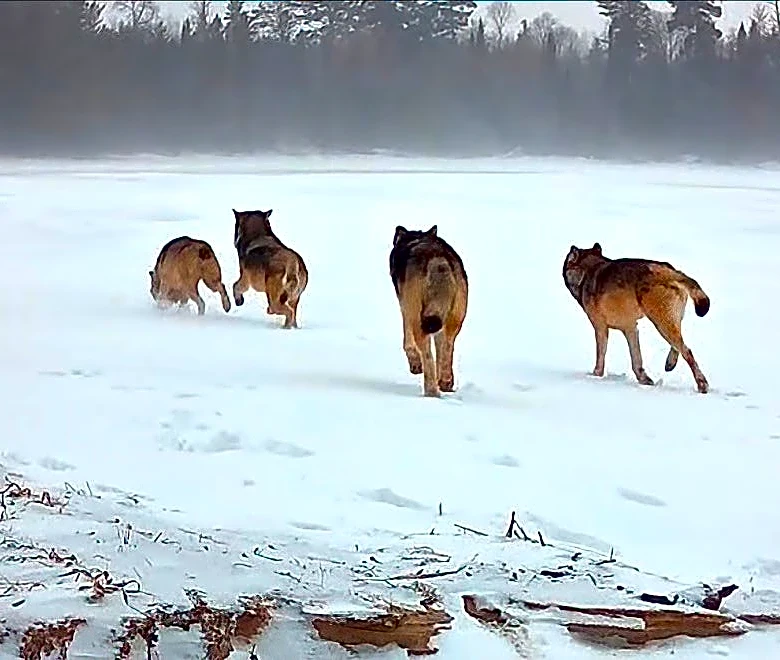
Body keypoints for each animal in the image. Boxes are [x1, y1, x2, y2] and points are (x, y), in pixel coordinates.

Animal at [390, 225, 469, 398]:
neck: (415, 240)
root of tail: (438, 261)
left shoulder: (405, 307)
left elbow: (408, 343)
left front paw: (415, 365)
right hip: (454, 320)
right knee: (446, 349)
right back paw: (445, 384)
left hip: (418, 317)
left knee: (427, 353)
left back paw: (431, 391)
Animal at [562, 242, 711, 393]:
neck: (588, 271)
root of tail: (670, 271)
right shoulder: (631, 328)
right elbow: (636, 358)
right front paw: (645, 380)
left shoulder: (600, 327)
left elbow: (601, 356)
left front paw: (595, 376)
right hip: (671, 322)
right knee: (679, 346)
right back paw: (670, 364)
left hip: (661, 323)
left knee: (686, 350)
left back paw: (702, 385)